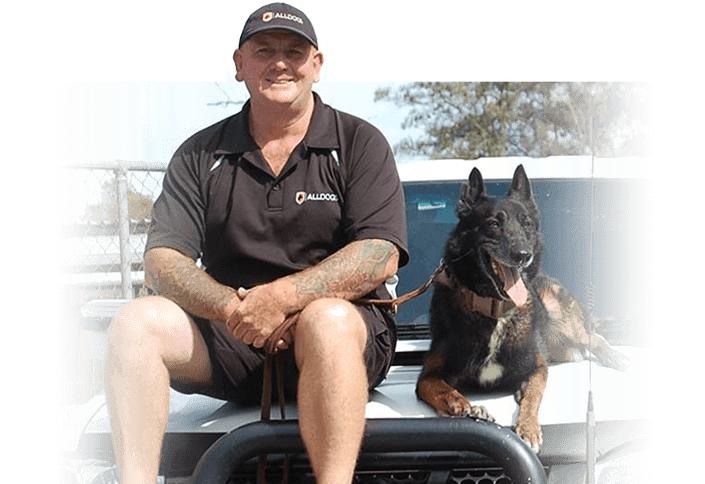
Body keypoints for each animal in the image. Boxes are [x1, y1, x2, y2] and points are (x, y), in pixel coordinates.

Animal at [412, 164, 628, 452]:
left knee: (591, 334)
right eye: (494, 224)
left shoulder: (537, 368)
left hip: (558, 308)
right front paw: (465, 406)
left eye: (526, 224)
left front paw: (528, 427)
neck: (495, 308)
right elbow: (442, 390)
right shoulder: (427, 377)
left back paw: (610, 354)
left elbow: (534, 395)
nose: (523, 255)